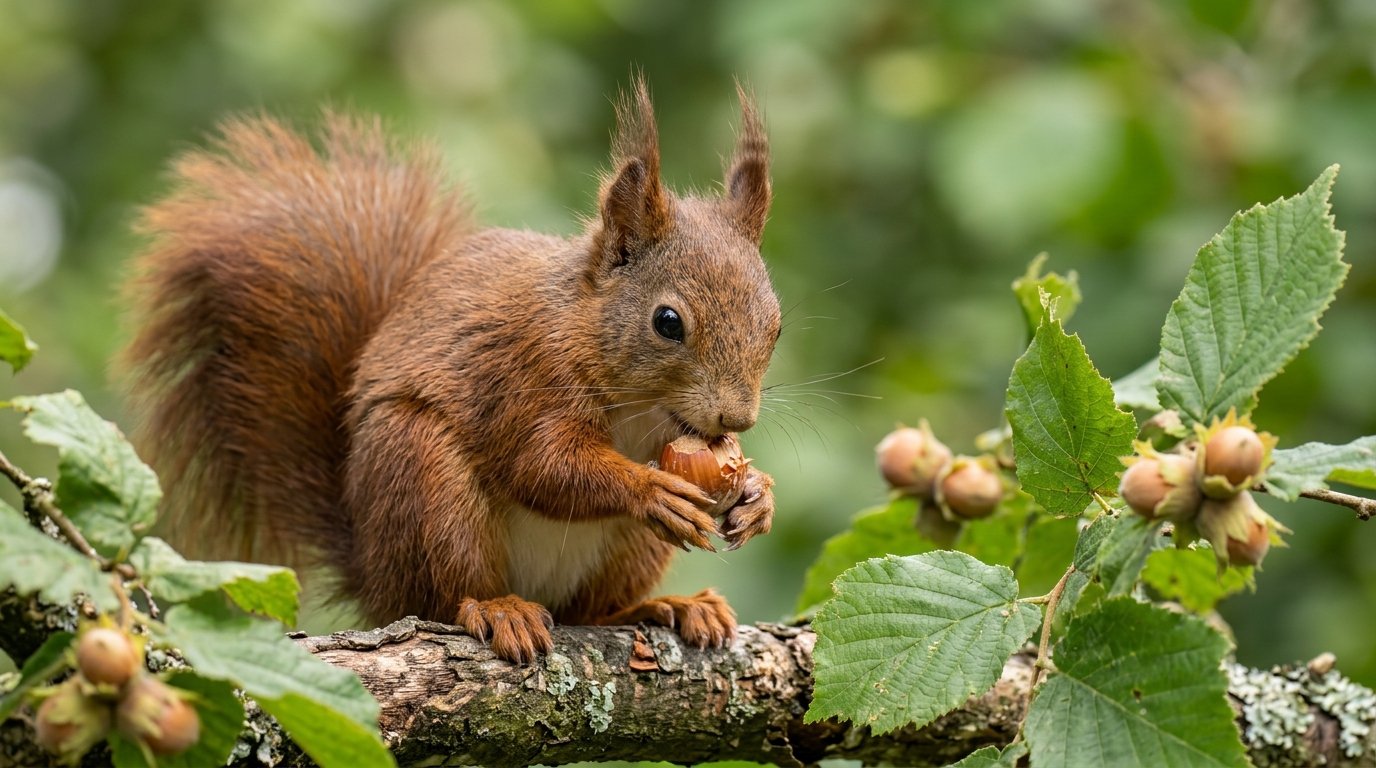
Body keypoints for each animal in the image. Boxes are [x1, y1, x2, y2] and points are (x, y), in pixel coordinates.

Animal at [119, 78, 781, 663]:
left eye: (775, 325)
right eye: (668, 322)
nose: (737, 419)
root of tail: (375, 576)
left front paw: (758, 494)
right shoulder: (526, 376)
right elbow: (544, 467)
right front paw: (649, 489)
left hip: (626, 552)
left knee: (591, 612)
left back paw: (667, 607)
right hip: (423, 480)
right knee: (447, 595)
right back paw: (496, 609)